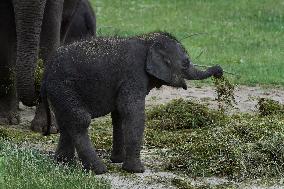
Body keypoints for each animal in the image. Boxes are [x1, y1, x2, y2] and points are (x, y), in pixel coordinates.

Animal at [41, 31, 224, 174]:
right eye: (185, 63)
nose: (220, 72)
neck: (148, 40)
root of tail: (46, 69)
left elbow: (119, 115)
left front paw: (118, 160)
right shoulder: (133, 75)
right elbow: (132, 111)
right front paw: (136, 170)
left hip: (59, 91)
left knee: (66, 121)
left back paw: (64, 163)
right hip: (64, 86)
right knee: (80, 120)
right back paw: (99, 170)